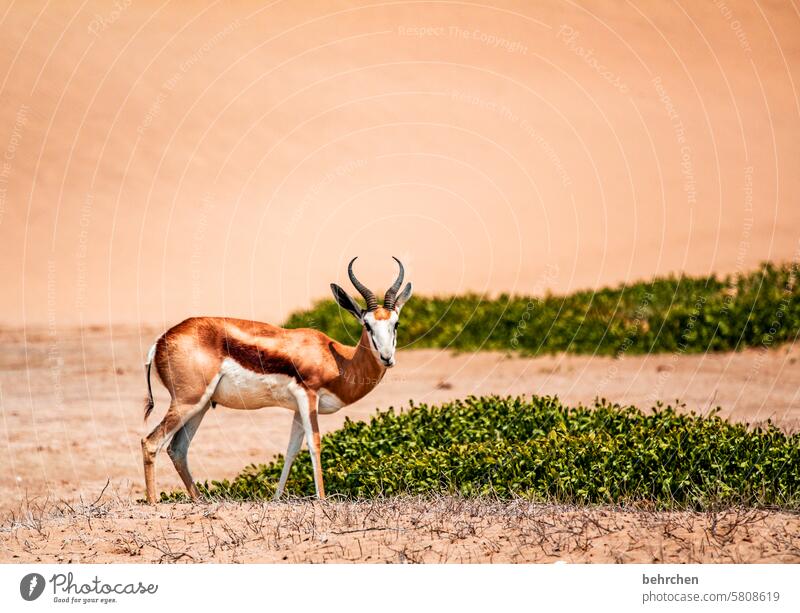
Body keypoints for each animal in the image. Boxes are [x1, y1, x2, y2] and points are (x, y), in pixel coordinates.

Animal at [141, 256, 412, 502]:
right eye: (367, 324)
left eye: (396, 323)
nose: (387, 357)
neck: (337, 359)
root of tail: (161, 340)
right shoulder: (307, 396)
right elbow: (314, 444)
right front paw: (322, 500)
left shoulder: (298, 409)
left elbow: (292, 450)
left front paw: (276, 499)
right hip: (188, 401)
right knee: (150, 442)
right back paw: (154, 503)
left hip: (201, 406)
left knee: (177, 449)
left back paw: (200, 501)